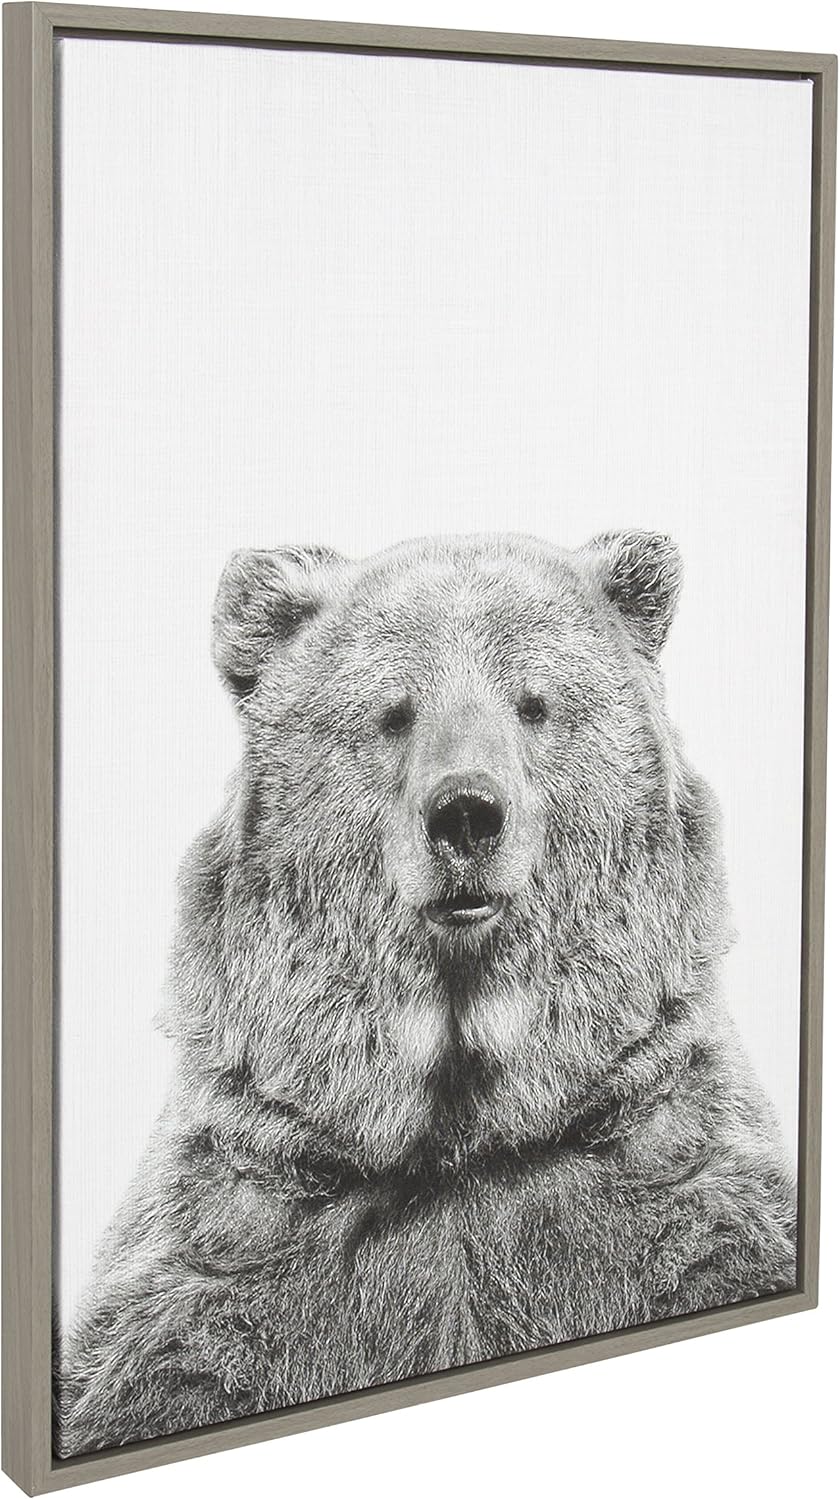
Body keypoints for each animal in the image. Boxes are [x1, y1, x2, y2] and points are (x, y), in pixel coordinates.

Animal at [55, 530, 796, 1458]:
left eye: (533, 703)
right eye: (395, 711)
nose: (467, 814)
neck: (458, 1127)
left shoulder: (678, 1185)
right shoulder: (230, 1250)